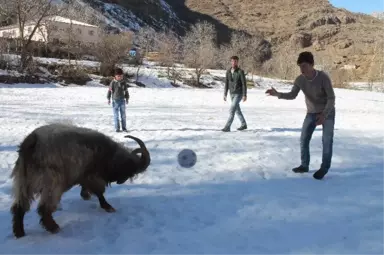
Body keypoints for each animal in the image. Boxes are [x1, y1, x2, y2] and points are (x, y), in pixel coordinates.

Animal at [9, 122, 150, 238]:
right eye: (130, 170)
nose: (121, 180)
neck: (108, 154)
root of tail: (32, 142)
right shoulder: (92, 175)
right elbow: (99, 192)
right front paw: (108, 207)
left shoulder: (85, 176)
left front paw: (86, 196)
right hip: (52, 183)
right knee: (43, 208)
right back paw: (54, 228)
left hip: (23, 182)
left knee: (19, 207)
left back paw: (19, 233)